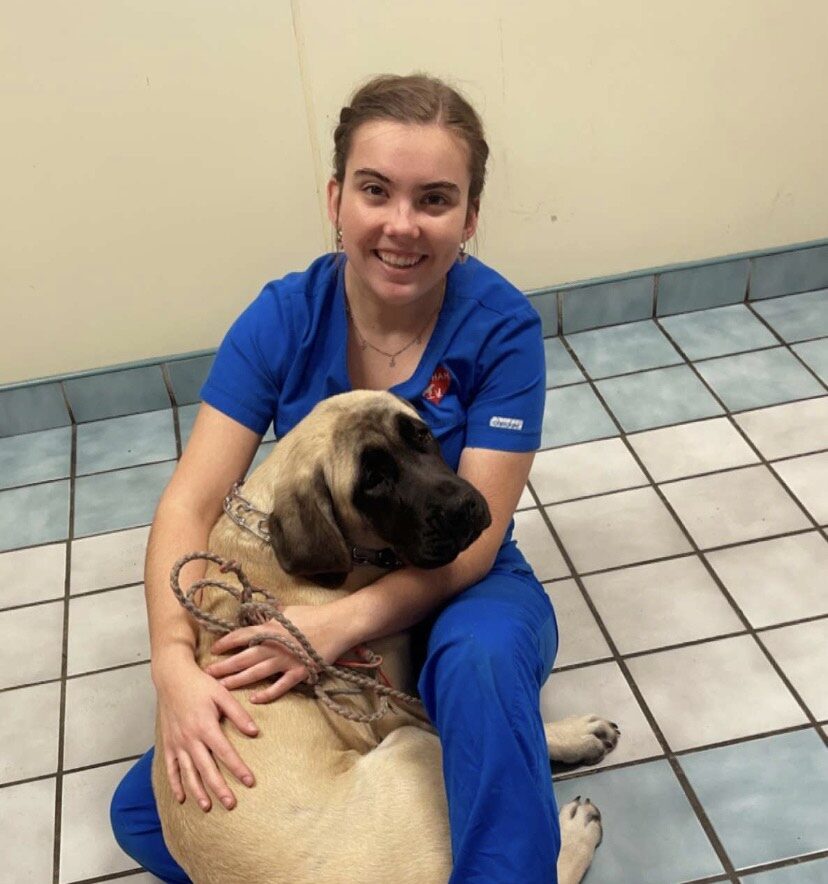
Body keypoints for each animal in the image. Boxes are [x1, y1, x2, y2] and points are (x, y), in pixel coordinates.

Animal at [152, 394, 616, 884]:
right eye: (372, 481)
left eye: (421, 434)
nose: (463, 508)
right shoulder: (392, 703)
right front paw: (571, 734)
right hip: (412, 750)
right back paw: (575, 832)